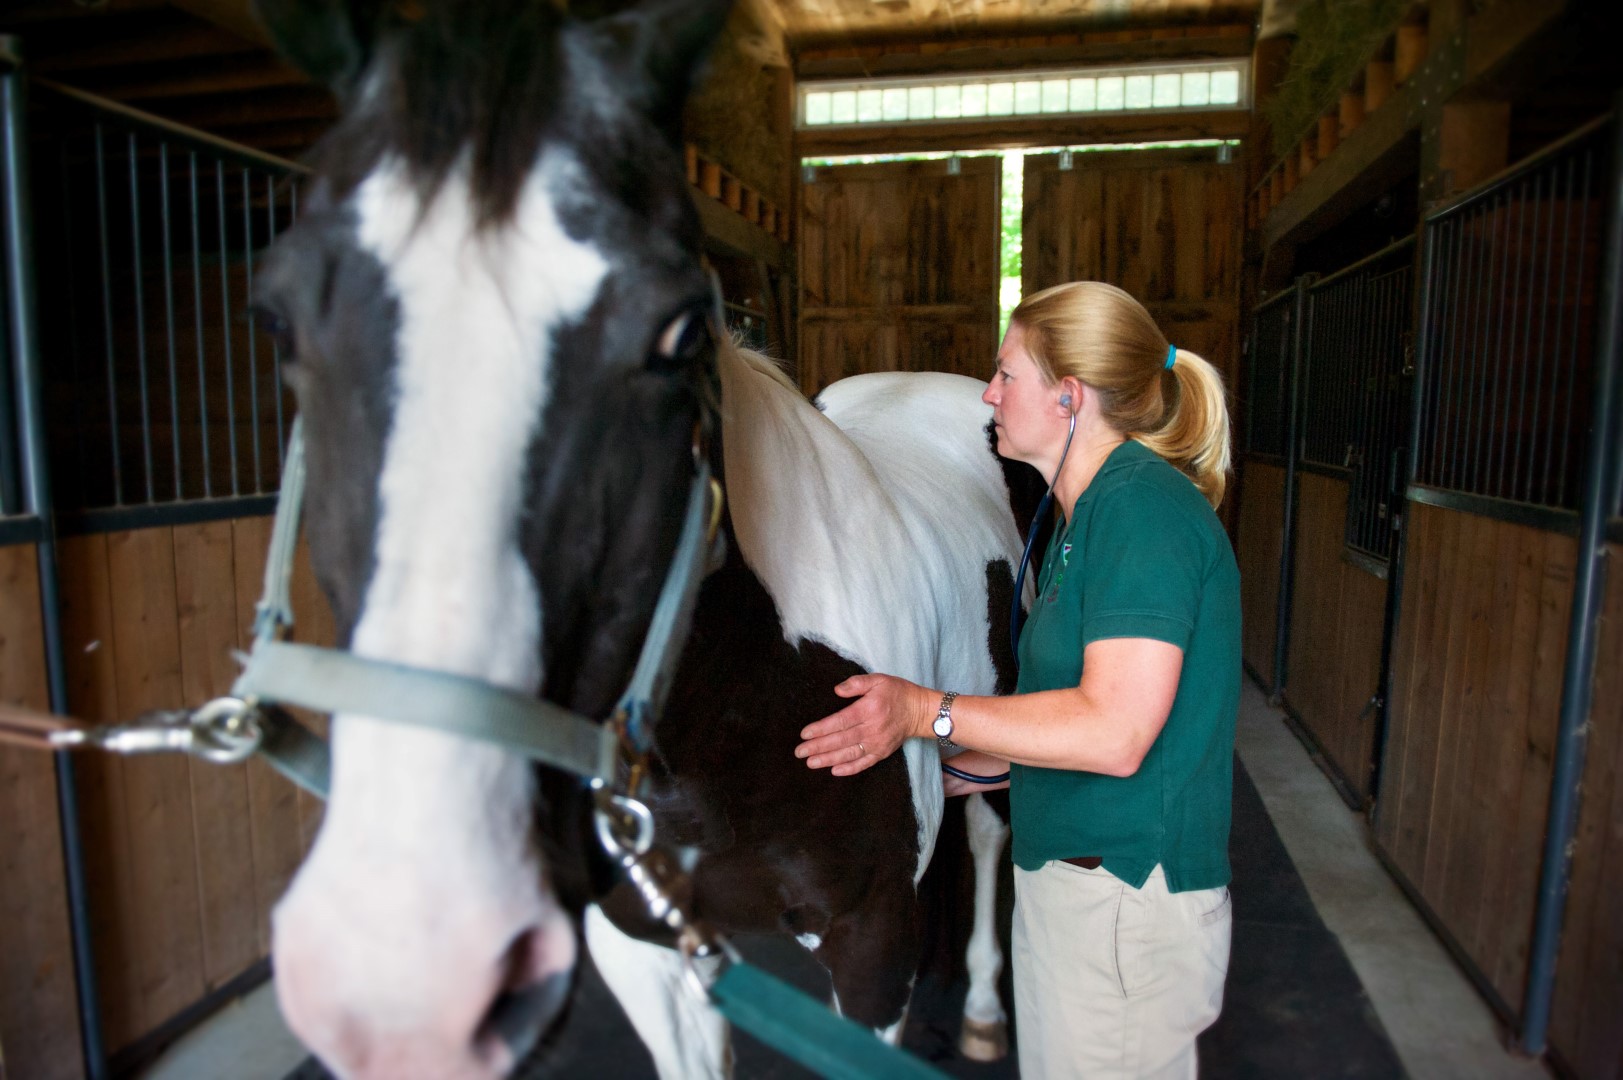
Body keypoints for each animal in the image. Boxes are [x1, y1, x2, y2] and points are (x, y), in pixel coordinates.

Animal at [249, 0, 1027, 1075]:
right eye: (278, 318)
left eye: (679, 331)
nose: (410, 968)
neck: (744, 697)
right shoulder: (646, 945)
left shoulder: (869, 948)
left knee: (988, 835)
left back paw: (987, 1007)